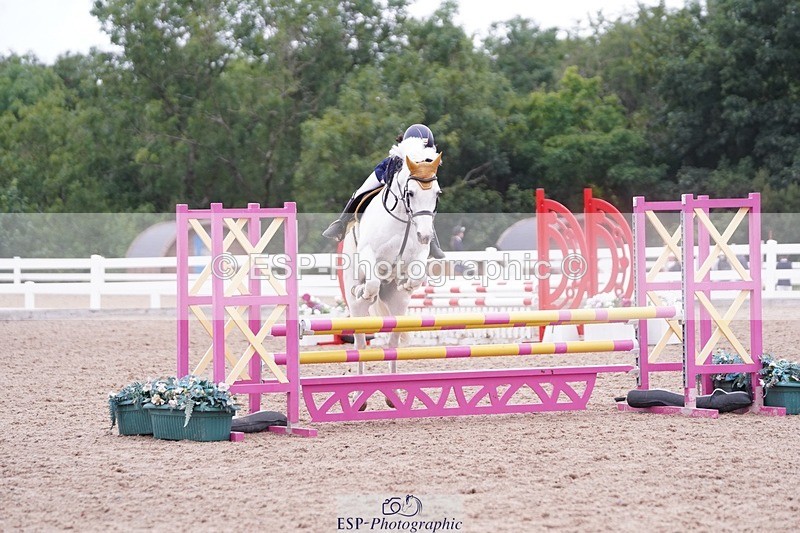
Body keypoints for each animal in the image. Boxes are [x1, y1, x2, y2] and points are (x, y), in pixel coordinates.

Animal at [341, 137, 443, 384]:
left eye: (437, 194)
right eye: (411, 193)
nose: (425, 235)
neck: (404, 220)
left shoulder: (419, 255)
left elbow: (417, 274)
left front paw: (407, 284)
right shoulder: (368, 253)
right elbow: (372, 282)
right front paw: (366, 291)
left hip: (397, 308)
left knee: (392, 344)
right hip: (356, 308)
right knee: (360, 345)